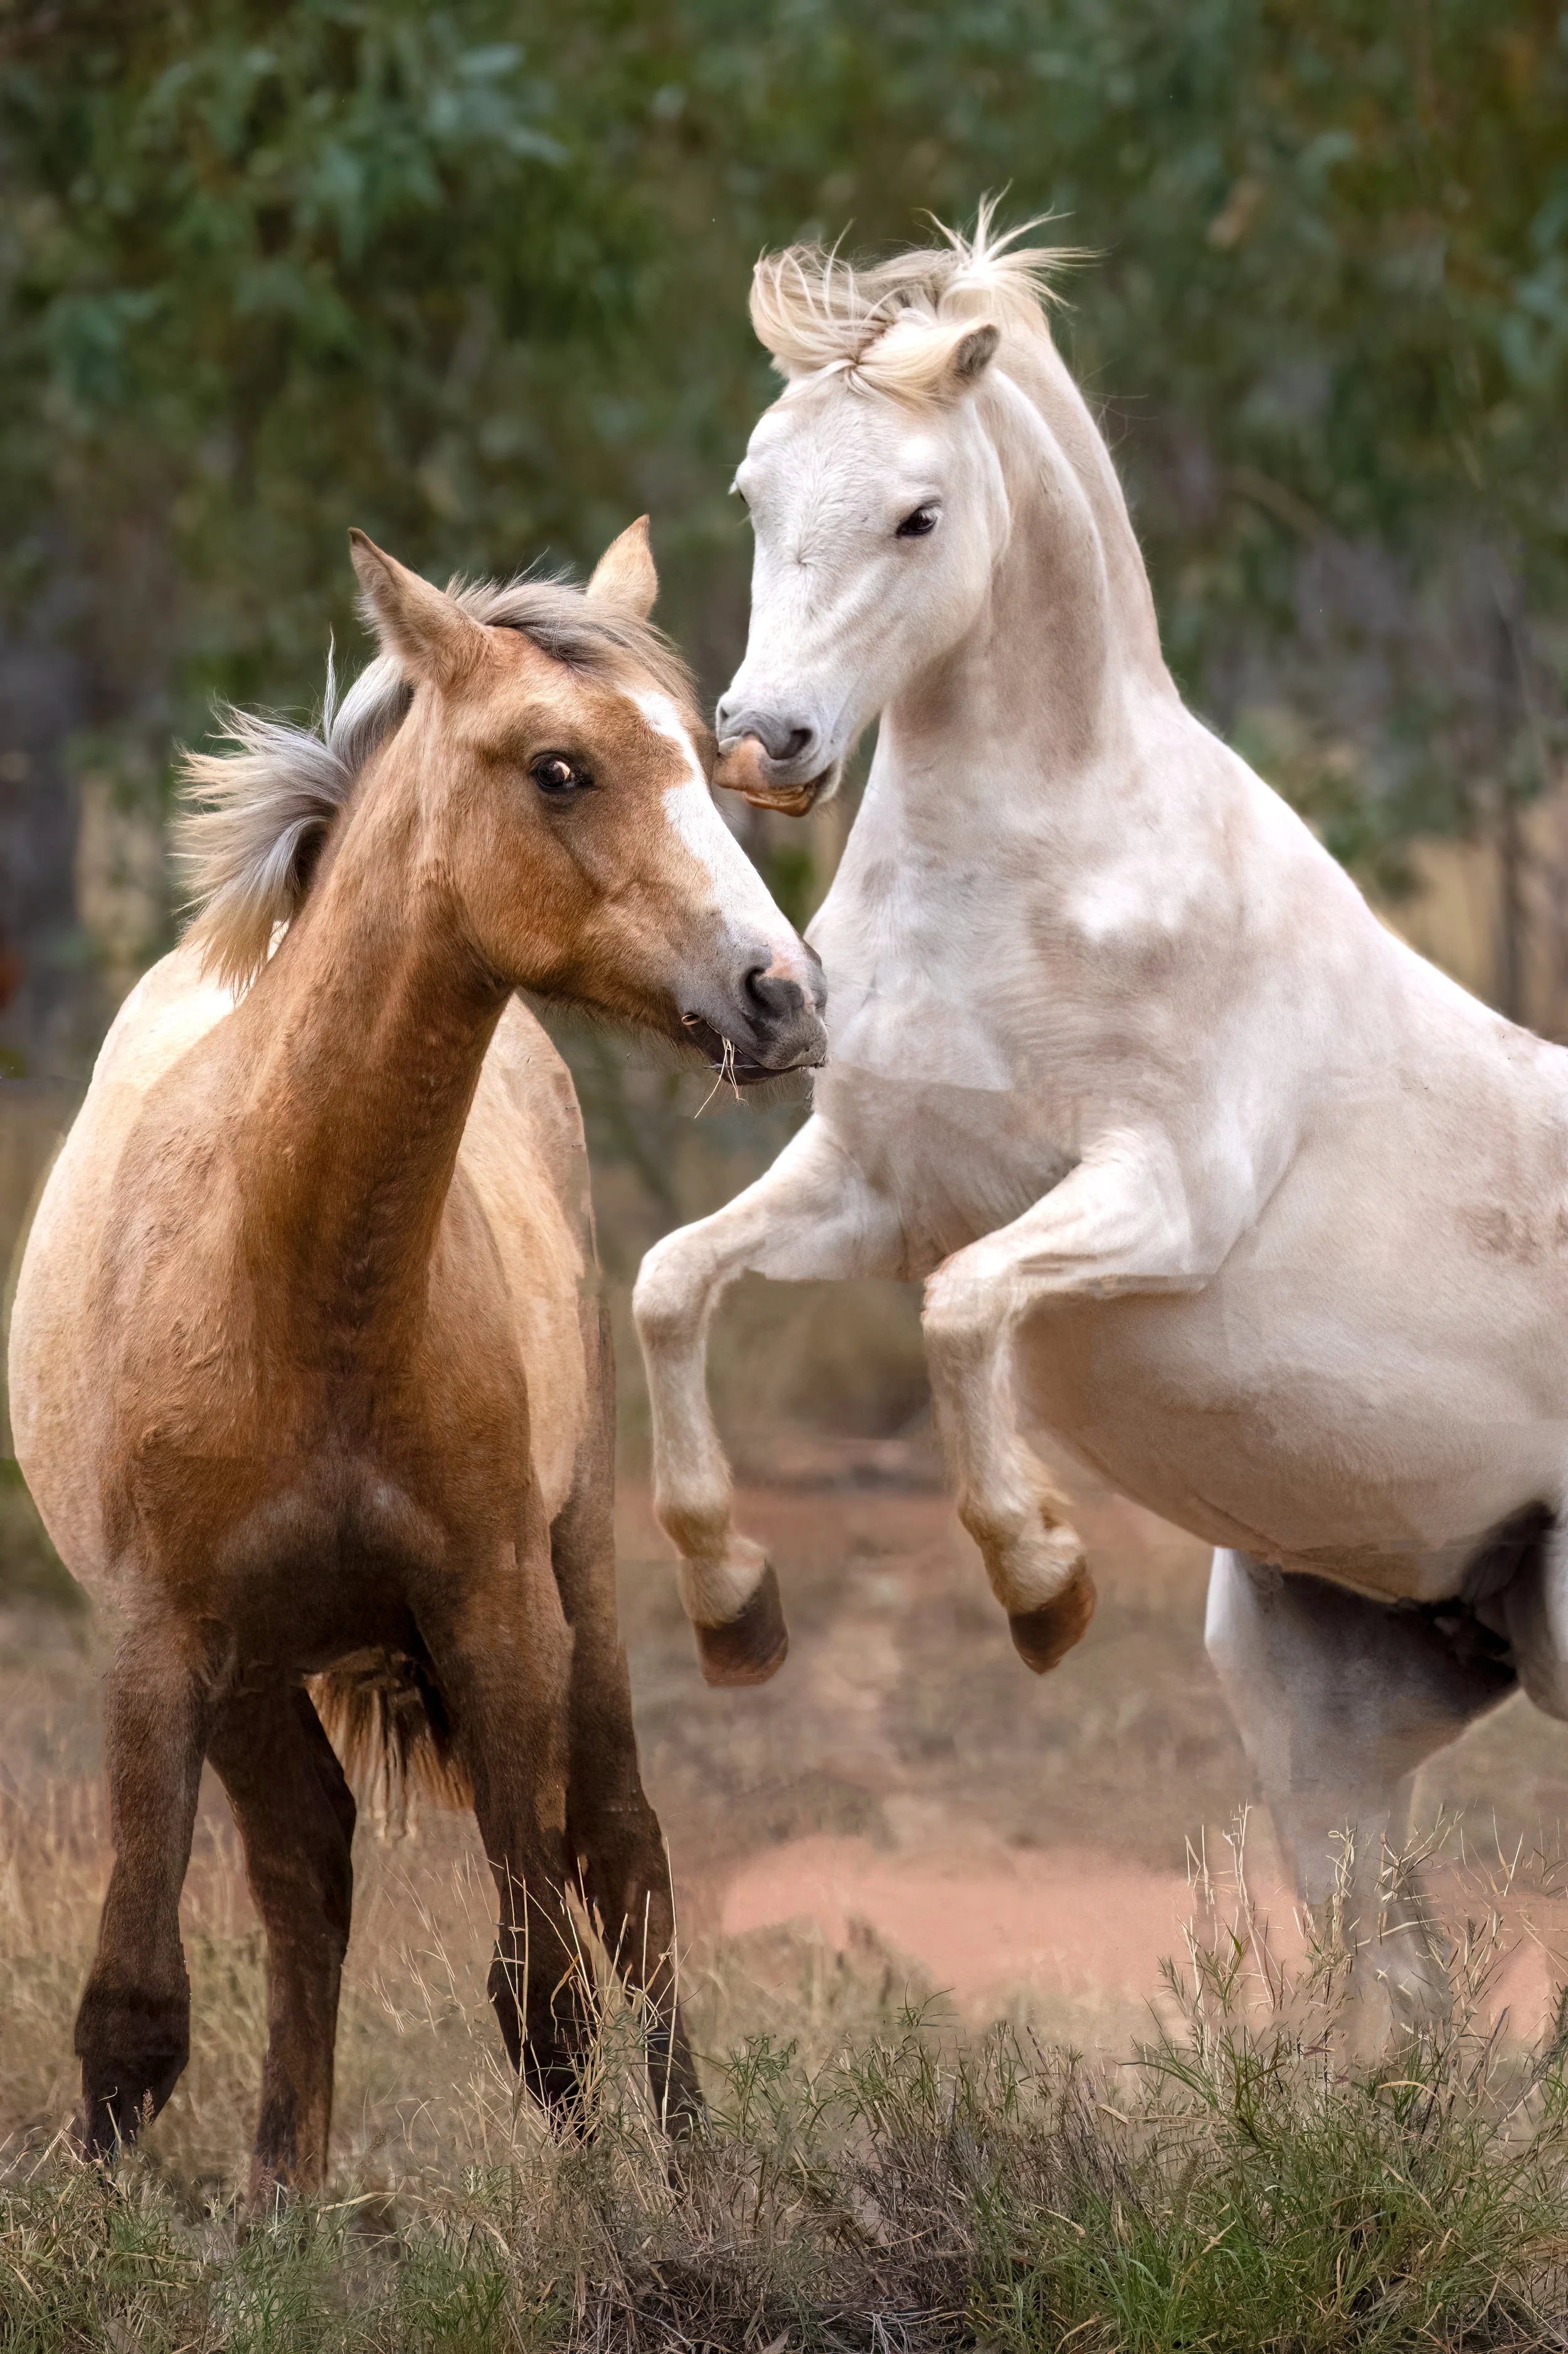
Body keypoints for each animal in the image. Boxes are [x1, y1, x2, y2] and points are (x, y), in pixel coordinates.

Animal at [7, 519, 825, 2198]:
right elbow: (132, 2013)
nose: (781, 994)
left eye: (698, 755)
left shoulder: (498, 1618)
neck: (303, 1279)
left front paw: (611, 2225)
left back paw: (695, 2171)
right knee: (306, 1868)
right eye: (560, 769)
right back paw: (286, 2192)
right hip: (256, 1677)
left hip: (573, 1580)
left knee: (625, 1856)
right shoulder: (157, 1644)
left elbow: (545, 1990)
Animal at [631, 214, 1568, 2047]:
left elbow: (961, 1317)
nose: (764, 745)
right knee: (1397, 2003)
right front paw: (730, 1604)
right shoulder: (864, 1189)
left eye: (919, 513)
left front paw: (1038, 1580)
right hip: (1322, 1706)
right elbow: (670, 1285)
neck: (1042, 880)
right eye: (757, 490)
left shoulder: (1152, 1202)